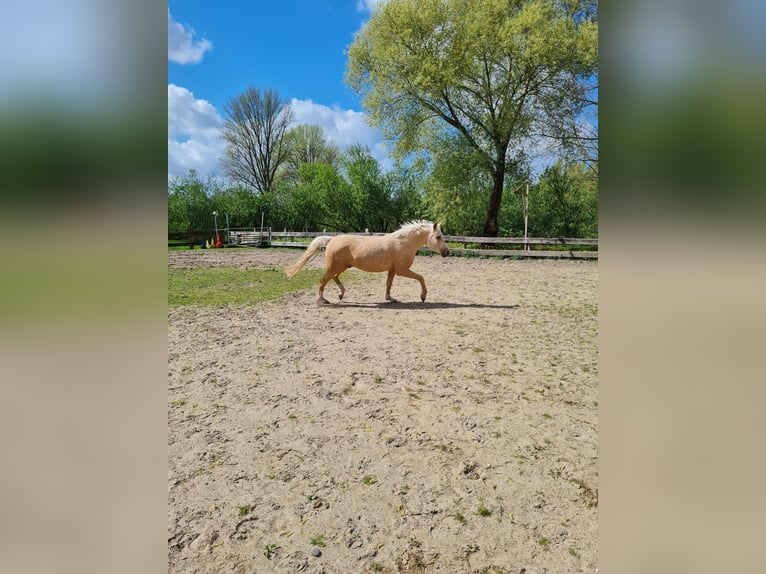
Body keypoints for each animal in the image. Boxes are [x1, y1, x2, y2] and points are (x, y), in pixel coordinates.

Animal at [286, 219, 450, 304]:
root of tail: (332, 239)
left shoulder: (392, 270)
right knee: (323, 280)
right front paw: (423, 296)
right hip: (334, 267)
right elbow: (421, 278)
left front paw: (390, 299)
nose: (447, 252)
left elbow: (389, 284)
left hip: (341, 267)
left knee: (334, 278)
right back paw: (323, 300)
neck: (403, 243)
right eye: (438, 237)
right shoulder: (402, 270)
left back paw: (341, 295)